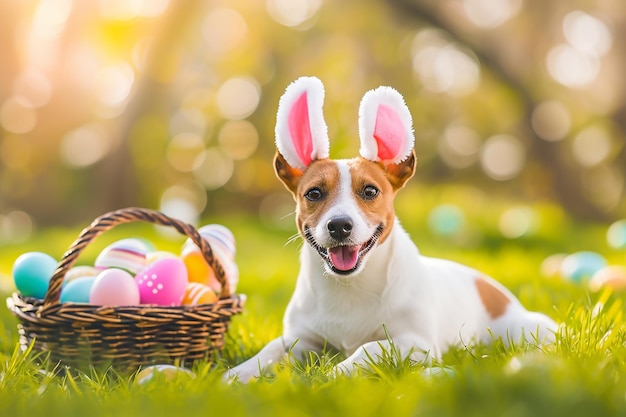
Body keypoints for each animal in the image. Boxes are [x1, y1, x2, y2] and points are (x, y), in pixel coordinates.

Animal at [227, 76, 560, 382]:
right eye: (314, 193)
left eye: (370, 191)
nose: (339, 226)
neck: (350, 287)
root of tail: (493, 287)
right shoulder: (301, 339)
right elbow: (272, 348)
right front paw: (238, 374)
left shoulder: (415, 343)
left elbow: (370, 348)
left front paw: (333, 373)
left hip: (528, 329)